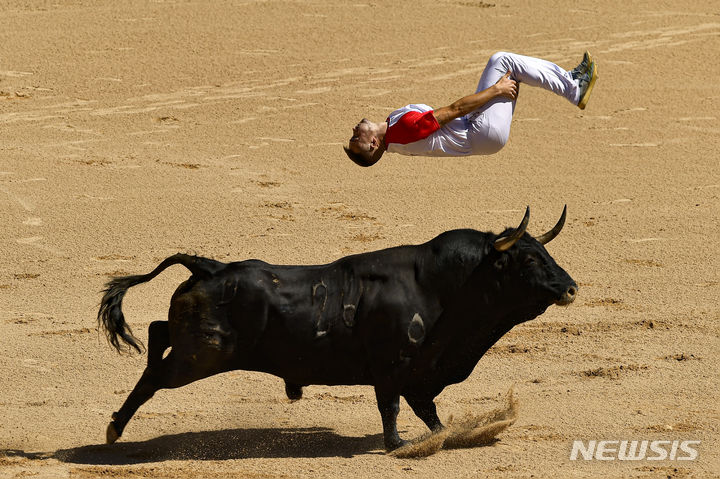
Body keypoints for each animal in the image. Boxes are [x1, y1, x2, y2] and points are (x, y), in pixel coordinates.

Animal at [98, 206, 576, 450]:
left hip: (193, 346)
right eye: (528, 259)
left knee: (157, 332)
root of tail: (209, 266)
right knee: (154, 375)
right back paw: (114, 429)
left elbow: (427, 409)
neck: (441, 285)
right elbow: (392, 407)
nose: (571, 287)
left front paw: (444, 435)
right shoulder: (393, 367)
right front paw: (397, 444)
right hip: (200, 356)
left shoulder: (420, 370)